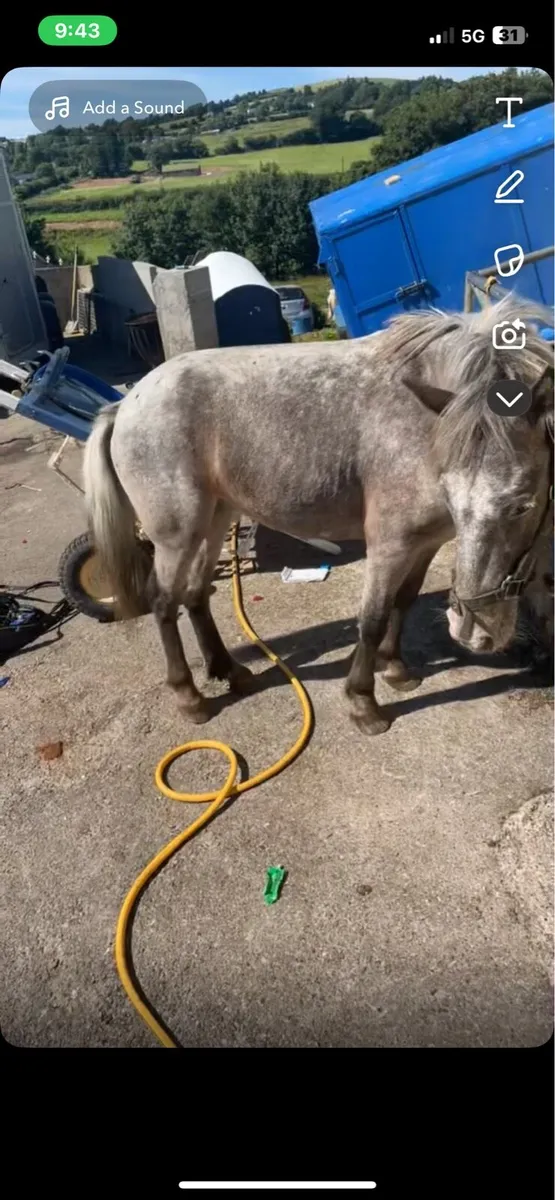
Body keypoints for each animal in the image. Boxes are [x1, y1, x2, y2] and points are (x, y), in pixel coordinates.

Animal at [83, 295, 553, 736]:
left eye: (523, 505)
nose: (474, 631)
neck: (425, 420)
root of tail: (125, 405)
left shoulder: (428, 541)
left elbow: (403, 602)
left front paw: (396, 670)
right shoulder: (390, 544)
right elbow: (373, 617)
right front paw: (363, 703)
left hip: (215, 520)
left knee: (196, 594)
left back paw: (230, 672)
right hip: (175, 536)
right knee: (164, 602)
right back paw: (189, 697)